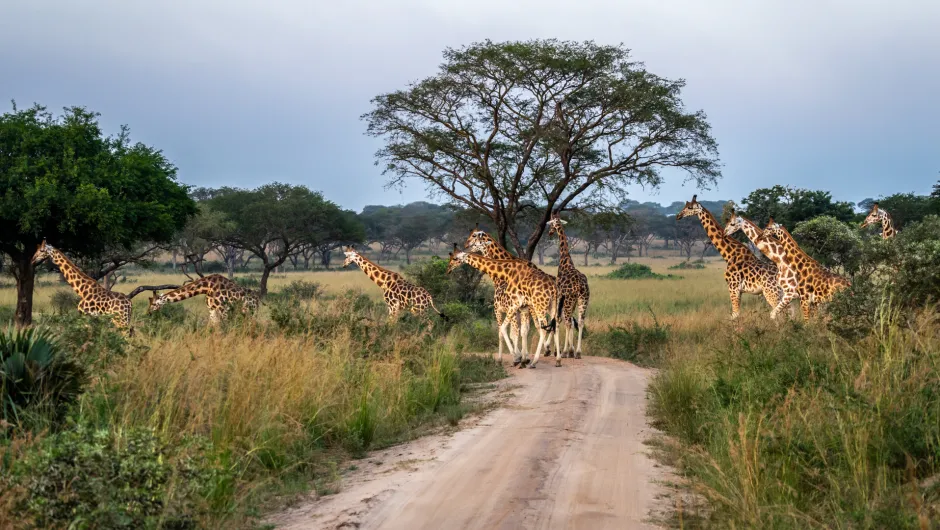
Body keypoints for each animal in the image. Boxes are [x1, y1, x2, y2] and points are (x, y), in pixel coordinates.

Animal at [462, 225, 552, 360]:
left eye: (473, 235)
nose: (466, 245)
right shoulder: (517, 308)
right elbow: (518, 331)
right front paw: (521, 354)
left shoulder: (513, 306)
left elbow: (514, 331)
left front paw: (518, 355)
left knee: (543, 324)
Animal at [544, 208, 588, 356]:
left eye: (551, 223)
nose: (550, 233)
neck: (566, 261)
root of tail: (580, 286)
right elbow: (567, 321)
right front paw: (570, 348)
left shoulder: (559, 296)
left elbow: (557, 319)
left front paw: (551, 348)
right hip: (582, 300)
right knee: (579, 321)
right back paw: (578, 352)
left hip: (569, 300)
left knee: (568, 322)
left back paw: (566, 351)